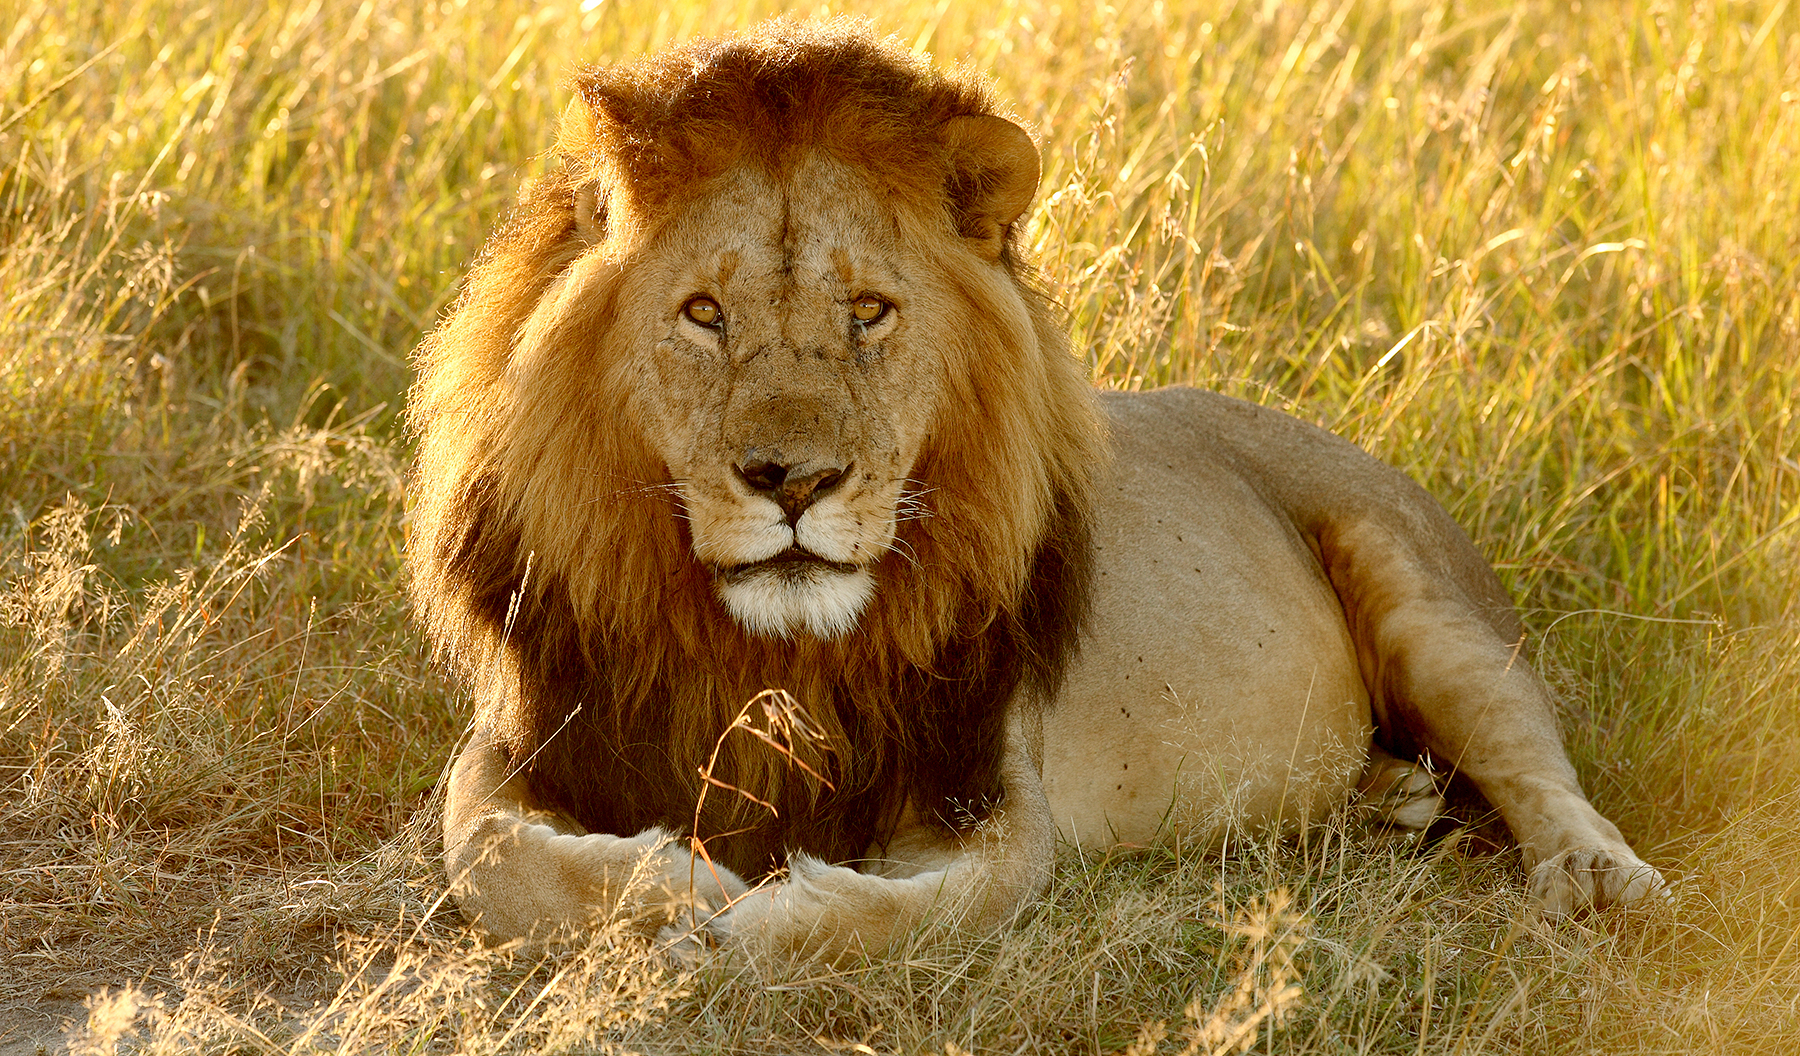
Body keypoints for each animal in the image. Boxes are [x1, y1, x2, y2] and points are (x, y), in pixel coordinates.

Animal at [407, 21, 1666, 963]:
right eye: (704, 315)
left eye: (869, 312)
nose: (793, 481)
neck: (775, 654)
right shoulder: (532, 728)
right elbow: (488, 855)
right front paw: (667, 887)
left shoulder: (995, 789)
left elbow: (921, 911)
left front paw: (747, 921)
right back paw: (1386, 795)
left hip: (1427, 599)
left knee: (1534, 760)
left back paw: (1599, 877)